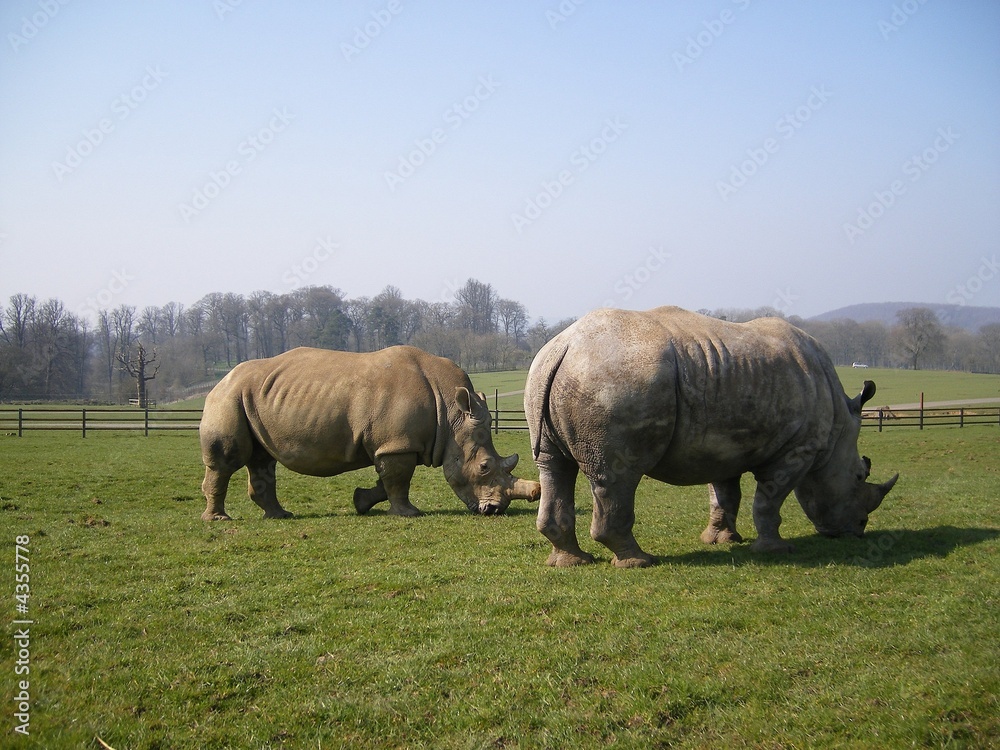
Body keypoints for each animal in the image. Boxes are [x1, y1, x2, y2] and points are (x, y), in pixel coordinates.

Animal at [199, 346, 540, 520]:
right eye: (484, 467)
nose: (494, 510)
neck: (452, 415)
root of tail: (218, 382)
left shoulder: (395, 443)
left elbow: (386, 481)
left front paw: (361, 502)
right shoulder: (397, 444)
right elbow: (398, 481)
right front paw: (409, 514)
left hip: (251, 399)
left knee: (261, 460)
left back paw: (281, 516)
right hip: (229, 398)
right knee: (229, 460)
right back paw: (218, 520)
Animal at [525, 306, 898, 567]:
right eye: (860, 476)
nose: (858, 529)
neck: (838, 430)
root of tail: (564, 347)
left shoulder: (721, 445)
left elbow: (724, 494)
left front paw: (720, 540)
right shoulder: (798, 450)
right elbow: (769, 499)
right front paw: (776, 549)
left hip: (546, 377)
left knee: (553, 466)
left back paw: (571, 562)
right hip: (614, 381)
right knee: (617, 476)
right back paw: (639, 561)